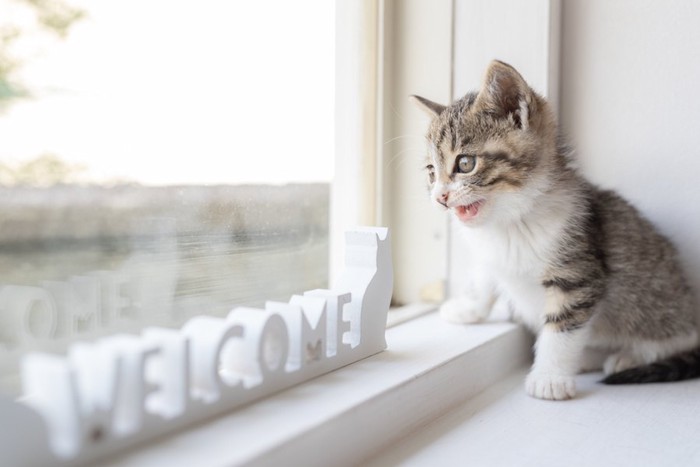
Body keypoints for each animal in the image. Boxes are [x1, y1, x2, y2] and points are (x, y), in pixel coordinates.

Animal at [410, 59, 700, 402]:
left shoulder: (577, 272)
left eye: (465, 164)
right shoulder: (491, 252)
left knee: (675, 336)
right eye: (431, 172)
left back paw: (628, 356)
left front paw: (549, 377)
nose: (439, 196)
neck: (511, 222)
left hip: (658, 305)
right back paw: (591, 356)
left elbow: (562, 327)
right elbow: (484, 276)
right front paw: (469, 308)